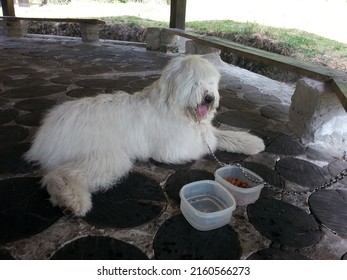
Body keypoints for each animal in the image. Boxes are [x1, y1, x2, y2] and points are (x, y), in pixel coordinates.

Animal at [25, 55, 264, 217]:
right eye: (195, 82)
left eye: (211, 82)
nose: (209, 98)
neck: (175, 108)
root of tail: (47, 130)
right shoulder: (170, 150)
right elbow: (206, 143)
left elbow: (218, 134)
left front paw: (253, 142)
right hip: (107, 156)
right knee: (59, 175)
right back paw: (72, 200)